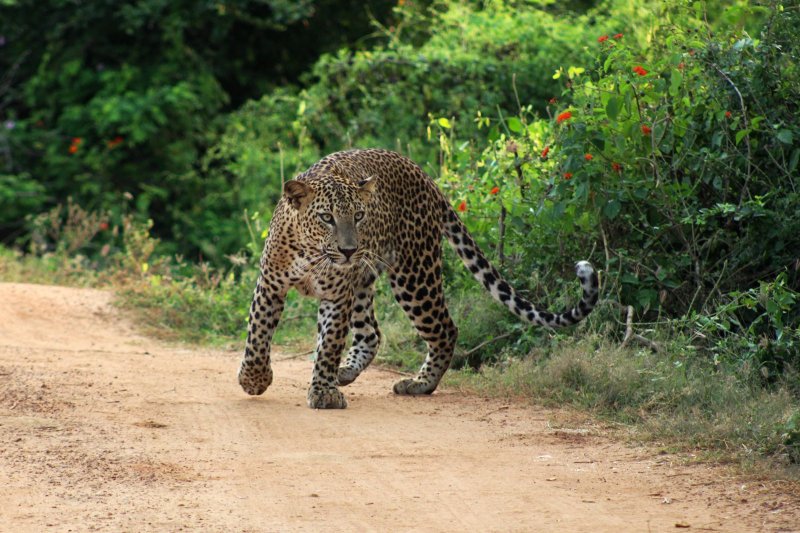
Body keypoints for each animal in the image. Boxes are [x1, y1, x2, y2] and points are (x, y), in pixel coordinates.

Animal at [237, 148, 599, 409]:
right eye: (326, 218)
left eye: (359, 216)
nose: (349, 250)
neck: (313, 252)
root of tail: (425, 176)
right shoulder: (271, 284)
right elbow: (258, 334)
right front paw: (254, 379)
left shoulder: (337, 295)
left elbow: (328, 345)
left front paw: (323, 391)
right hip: (367, 282)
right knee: (371, 333)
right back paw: (348, 372)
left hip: (413, 275)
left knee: (445, 329)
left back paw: (420, 384)